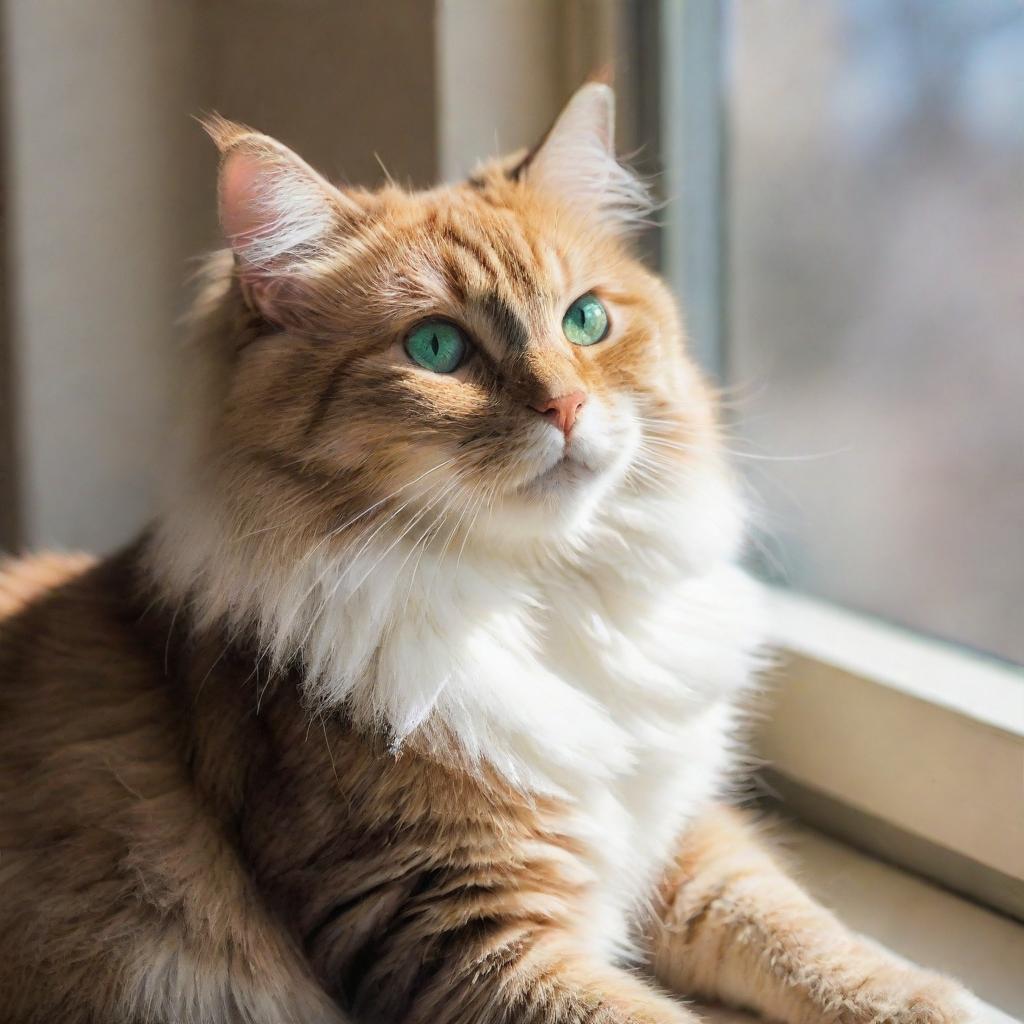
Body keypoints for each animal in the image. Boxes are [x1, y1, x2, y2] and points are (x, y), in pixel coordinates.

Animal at [0, 86, 974, 1024]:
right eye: (436, 347)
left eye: (587, 321)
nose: (568, 407)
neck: (540, 597)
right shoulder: (449, 924)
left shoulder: (673, 836)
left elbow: (803, 936)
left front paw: (927, 1000)